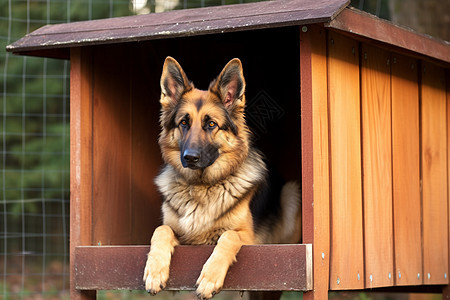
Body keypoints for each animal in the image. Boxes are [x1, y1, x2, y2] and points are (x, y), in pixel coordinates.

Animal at [142, 56, 300, 300]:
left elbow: (228, 236)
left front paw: (209, 278)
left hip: (291, 193)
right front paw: (154, 272)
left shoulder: (251, 240)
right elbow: (161, 230)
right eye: (184, 123)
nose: (190, 158)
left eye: (211, 124)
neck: (201, 187)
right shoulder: (178, 234)